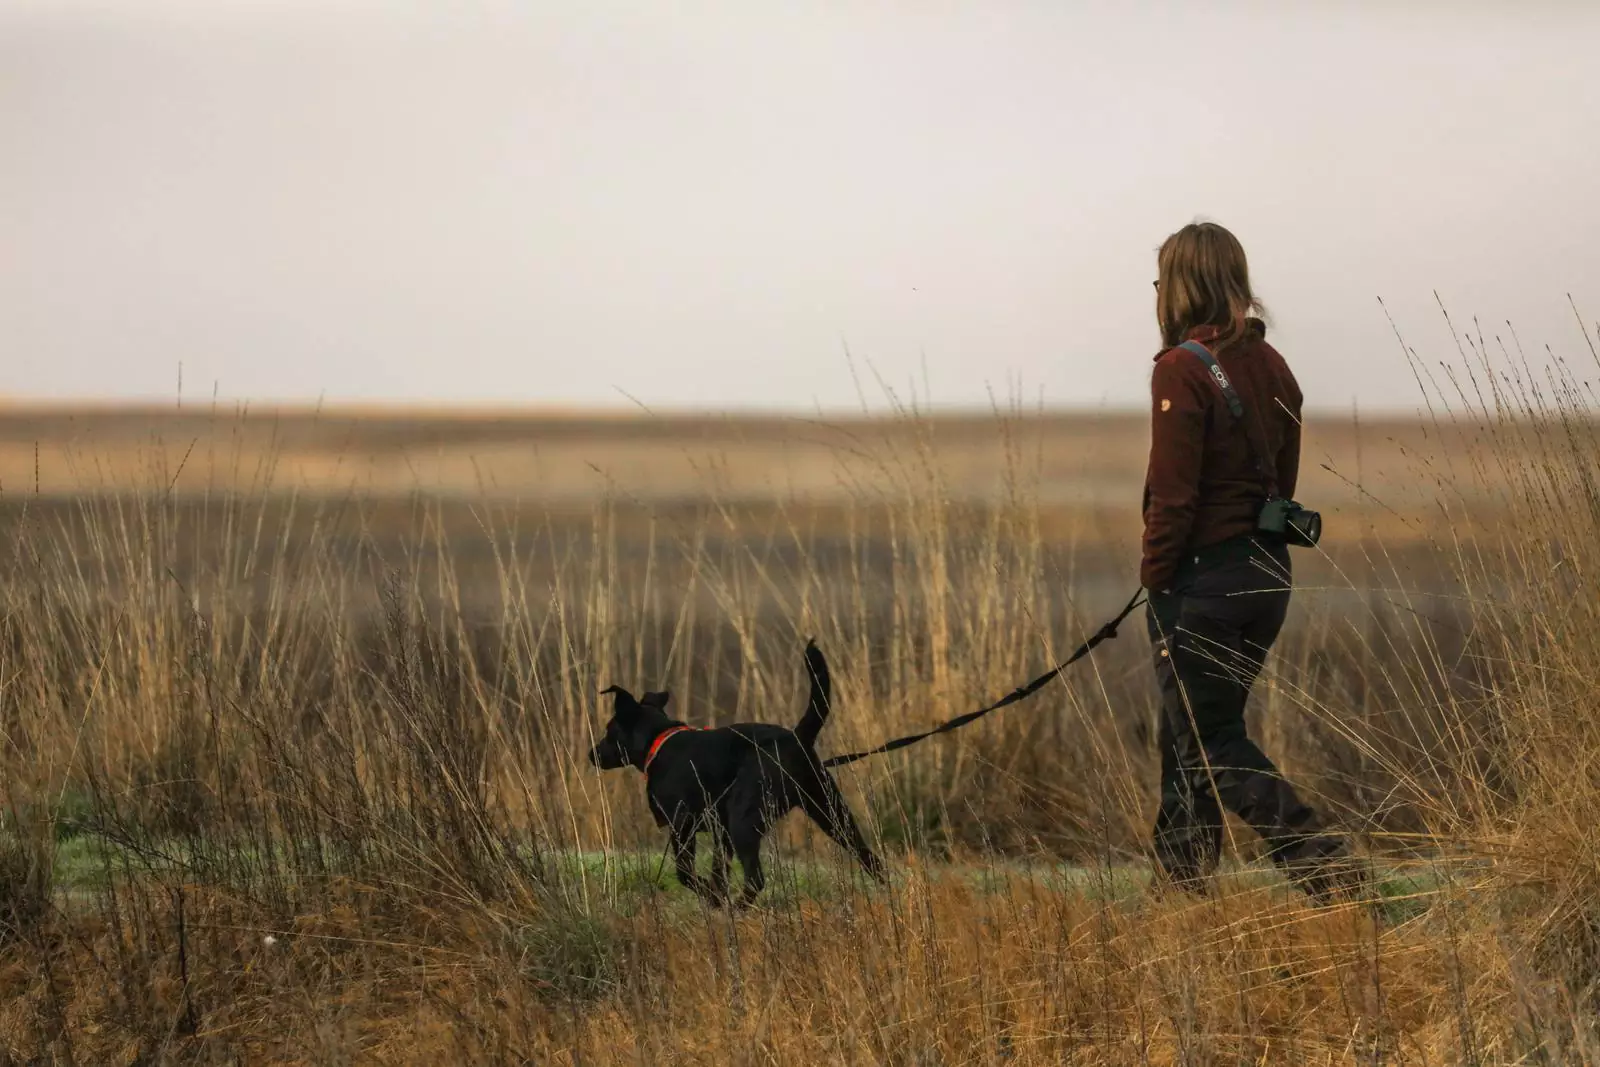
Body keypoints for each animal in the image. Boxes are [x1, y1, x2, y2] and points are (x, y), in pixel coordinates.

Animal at [588, 639, 889, 908]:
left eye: (609, 730)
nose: (592, 753)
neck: (659, 741)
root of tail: (797, 737)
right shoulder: (720, 833)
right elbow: (718, 873)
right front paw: (716, 898)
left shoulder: (683, 823)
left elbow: (685, 873)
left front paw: (711, 897)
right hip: (830, 812)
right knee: (870, 858)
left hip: (743, 820)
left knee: (756, 878)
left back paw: (740, 908)